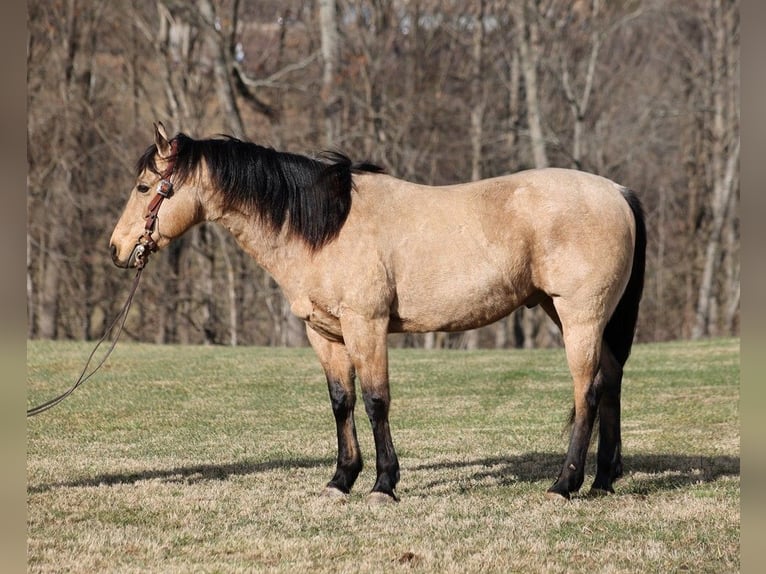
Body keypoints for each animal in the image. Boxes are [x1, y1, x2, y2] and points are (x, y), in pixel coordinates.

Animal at [109, 124, 648, 502]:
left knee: (587, 392)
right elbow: (341, 401)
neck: (326, 226)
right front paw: (341, 479)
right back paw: (602, 480)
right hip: (578, 316)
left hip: (580, 317)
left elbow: (375, 401)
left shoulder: (365, 325)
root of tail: (618, 191)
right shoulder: (325, 333)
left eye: (144, 187)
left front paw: (383, 484)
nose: (117, 249)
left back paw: (564, 484)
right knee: (610, 383)